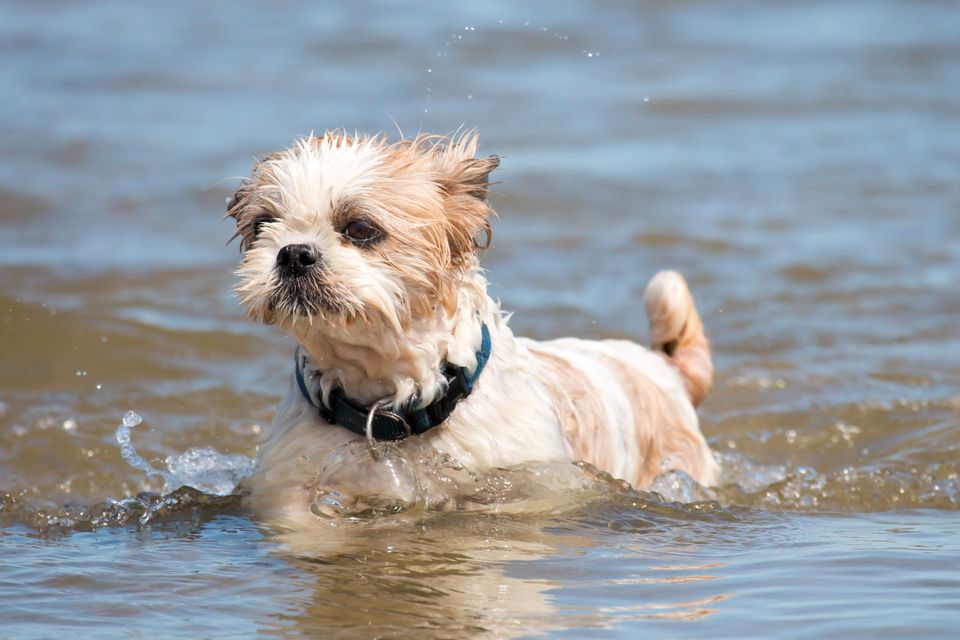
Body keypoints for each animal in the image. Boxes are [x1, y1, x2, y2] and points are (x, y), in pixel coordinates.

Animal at [229, 131, 716, 524]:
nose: (294, 253)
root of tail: (663, 368)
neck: (390, 410)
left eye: (361, 228)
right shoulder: (294, 487)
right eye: (263, 225)